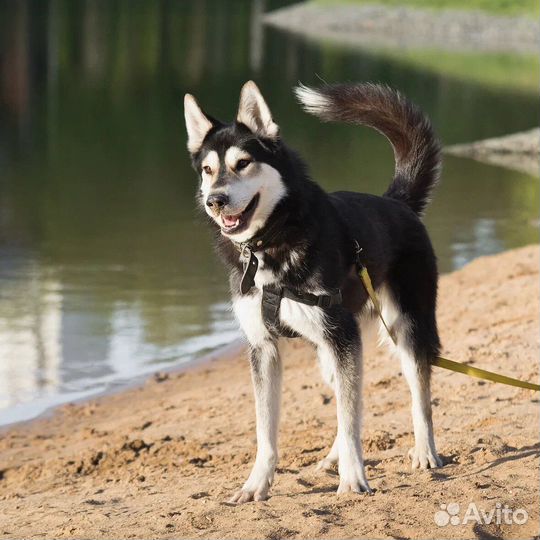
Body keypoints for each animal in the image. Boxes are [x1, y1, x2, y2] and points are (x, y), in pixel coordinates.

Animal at [184, 80, 440, 502]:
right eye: (208, 169)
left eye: (243, 163)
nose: (214, 200)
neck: (271, 244)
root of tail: (396, 202)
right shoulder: (265, 347)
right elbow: (267, 431)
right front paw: (256, 484)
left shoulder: (343, 337)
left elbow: (351, 419)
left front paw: (353, 479)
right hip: (330, 352)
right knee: (346, 400)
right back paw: (334, 458)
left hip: (405, 329)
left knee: (418, 398)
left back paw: (424, 452)